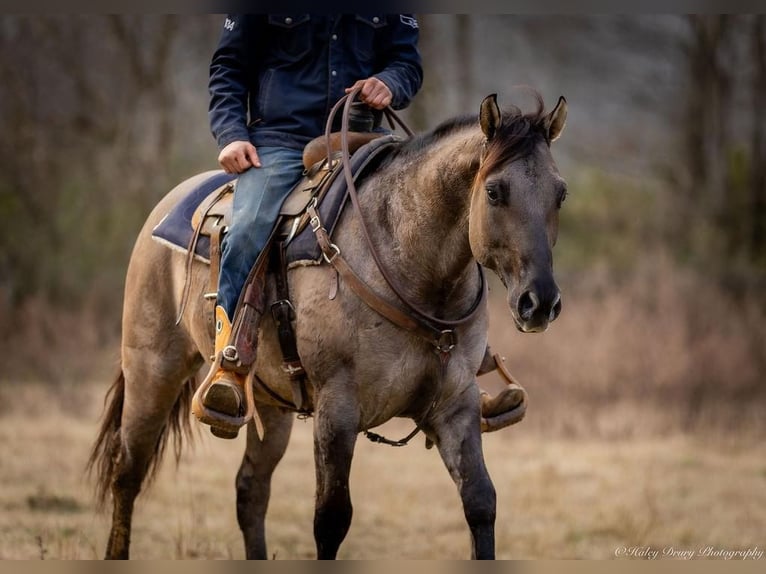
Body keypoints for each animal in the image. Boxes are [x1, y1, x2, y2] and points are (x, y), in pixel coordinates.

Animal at [88, 92, 568, 560]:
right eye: (494, 191)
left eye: (560, 194)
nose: (539, 302)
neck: (412, 265)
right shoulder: (337, 409)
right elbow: (331, 518)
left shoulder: (456, 404)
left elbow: (480, 502)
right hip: (153, 370)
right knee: (128, 472)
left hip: (270, 402)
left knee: (250, 490)